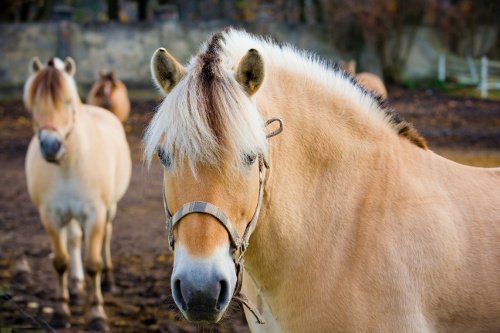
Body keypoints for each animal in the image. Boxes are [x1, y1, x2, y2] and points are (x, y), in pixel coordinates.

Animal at [23, 55, 131, 328]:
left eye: (68, 101)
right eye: (34, 103)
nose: (51, 146)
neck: (69, 164)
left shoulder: (95, 214)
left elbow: (93, 263)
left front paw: (97, 314)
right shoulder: (50, 216)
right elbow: (60, 261)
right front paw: (61, 310)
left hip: (110, 209)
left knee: (106, 237)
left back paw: (108, 280)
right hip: (69, 215)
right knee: (73, 240)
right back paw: (76, 285)